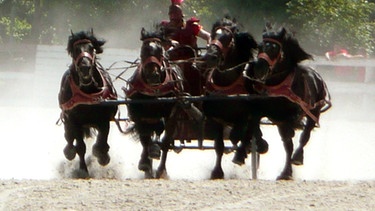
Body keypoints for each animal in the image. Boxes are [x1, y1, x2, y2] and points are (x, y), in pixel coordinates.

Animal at [58, 29, 117, 178]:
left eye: (91, 48)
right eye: (75, 50)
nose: (85, 67)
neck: (87, 91)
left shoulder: (104, 120)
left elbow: (102, 142)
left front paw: (102, 156)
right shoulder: (75, 121)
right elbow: (80, 146)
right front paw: (83, 170)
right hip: (67, 120)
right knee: (69, 137)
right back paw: (69, 151)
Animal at [125, 27, 187, 177]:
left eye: (160, 51)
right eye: (143, 51)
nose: (153, 76)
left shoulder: (170, 115)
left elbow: (163, 139)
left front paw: (158, 166)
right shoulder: (140, 115)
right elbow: (144, 138)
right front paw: (145, 164)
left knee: (164, 138)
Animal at [200, 16, 270, 178]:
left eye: (227, 38)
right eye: (213, 34)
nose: (210, 57)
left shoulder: (244, 115)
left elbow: (239, 133)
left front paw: (241, 152)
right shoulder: (216, 118)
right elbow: (219, 146)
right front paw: (217, 172)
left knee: (251, 131)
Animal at [247, 26, 332, 180]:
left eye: (274, 48)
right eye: (260, 46)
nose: (259, 68)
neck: (280, 84)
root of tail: (317, 75)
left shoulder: (291, 116)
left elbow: (294, 139)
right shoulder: (275, 116)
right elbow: (256, 122)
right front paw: (261, 145)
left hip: (314, 112)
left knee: (305, 136)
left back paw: (297, 158)